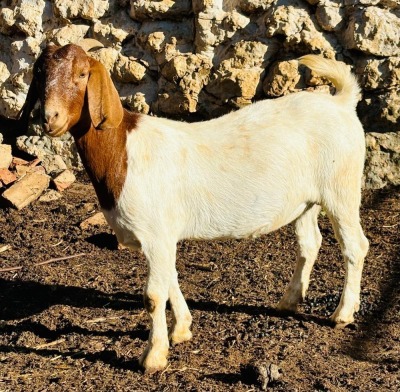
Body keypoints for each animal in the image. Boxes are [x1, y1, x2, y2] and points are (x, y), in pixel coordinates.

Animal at [0, 44, 368, 372]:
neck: (123, 149)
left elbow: (152, 295)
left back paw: (343, 313)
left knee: (355, 245)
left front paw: (153, 357)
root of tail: (341, 102)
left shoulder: (155, 233)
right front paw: (182, 329)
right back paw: (289, 301)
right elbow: (170, 279)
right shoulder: (162, 235)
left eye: (81, 74)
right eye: (40, 74)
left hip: (341, 187)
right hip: (306, 200)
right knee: (310, 243)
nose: (49, 118)